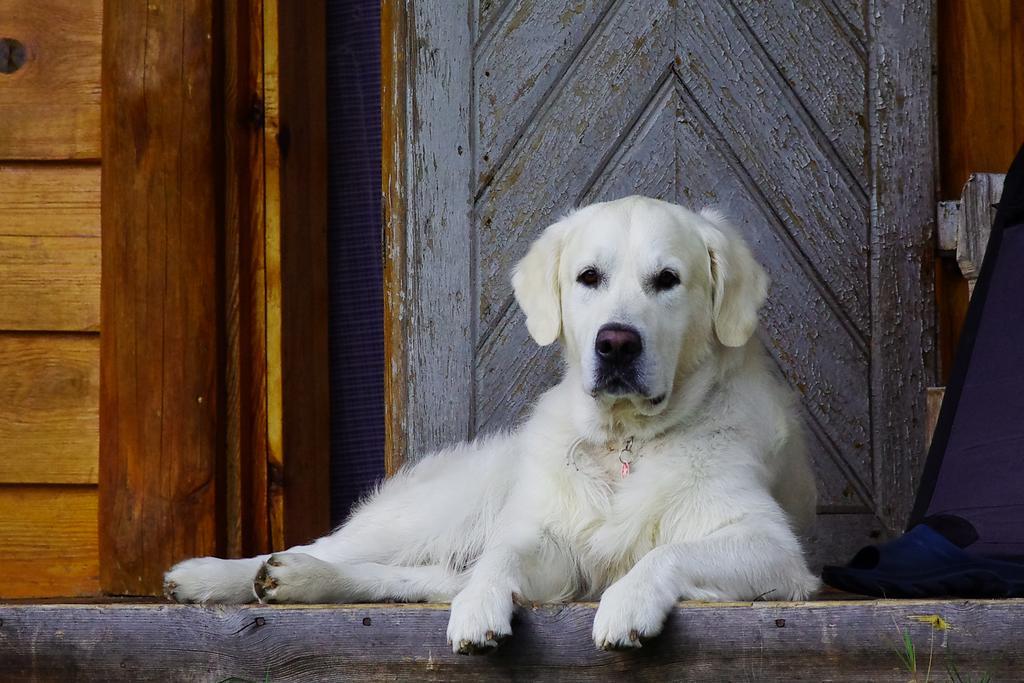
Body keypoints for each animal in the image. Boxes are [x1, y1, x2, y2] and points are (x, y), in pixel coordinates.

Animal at [167, 194, 823, 655]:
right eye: (589, 276)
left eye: (668, 280)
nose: (616, 343)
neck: (627, 439)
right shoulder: (547, 540)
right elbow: (501, 557)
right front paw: (482, 606)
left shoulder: (774, 546)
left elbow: (665, 553)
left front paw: (627, 603)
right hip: (440, 506)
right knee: (329, 545)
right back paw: (215, 575)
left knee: (400, 575)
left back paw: (299, 581)